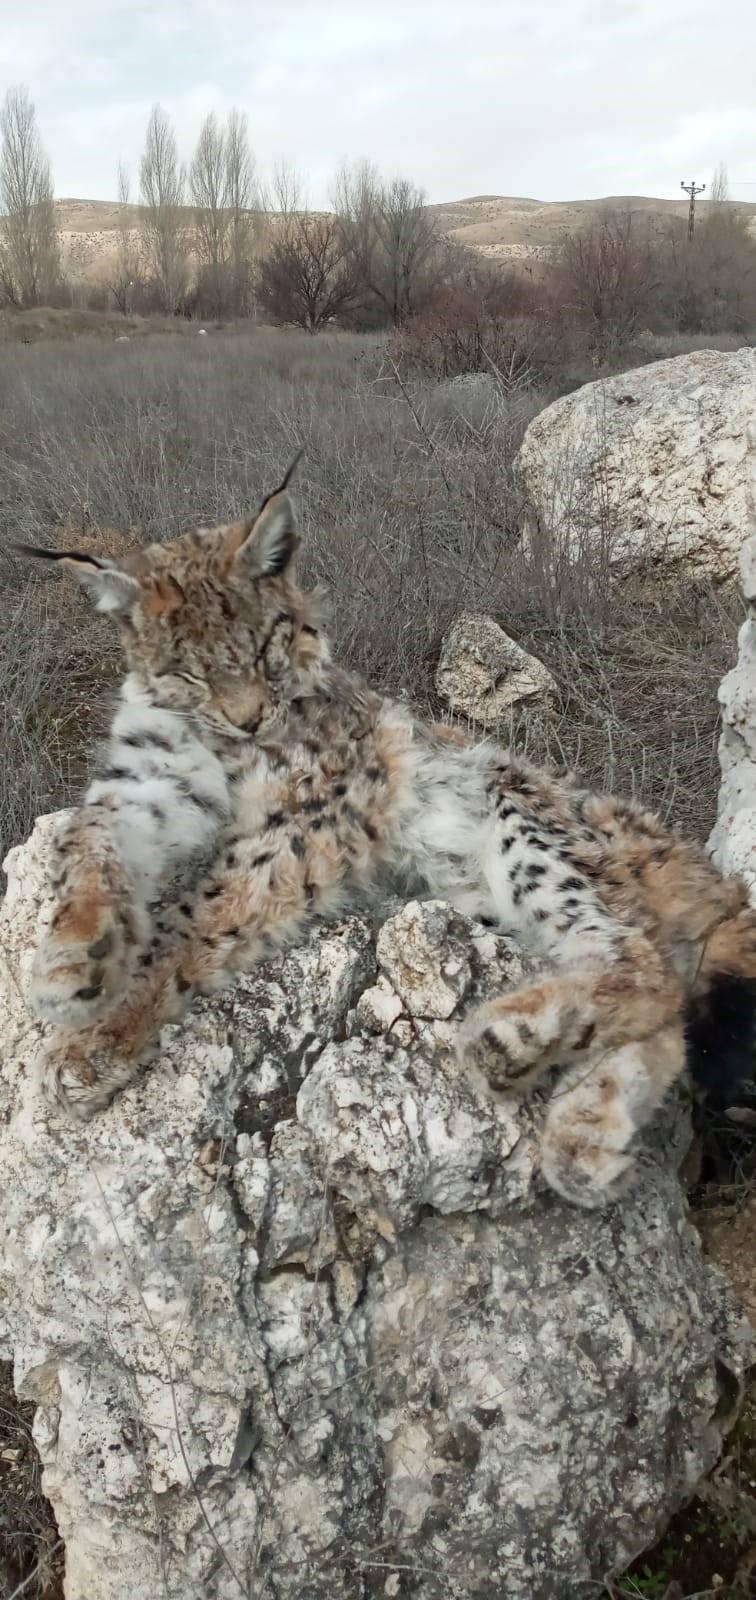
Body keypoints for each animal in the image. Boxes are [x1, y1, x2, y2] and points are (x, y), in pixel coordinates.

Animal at [15, 463, 756, 1208]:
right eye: (189, 671)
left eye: (264, 648)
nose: (251, 719)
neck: (219, 740)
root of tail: (700, 864)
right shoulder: (147, 780)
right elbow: (85, 836)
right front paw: (72, 958)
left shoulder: (311, 811)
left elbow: (199, 913)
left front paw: (95, 1039)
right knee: (666, 1005)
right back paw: (586, 1133)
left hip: (514, 797)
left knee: (641, 963)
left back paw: (511, 1040)